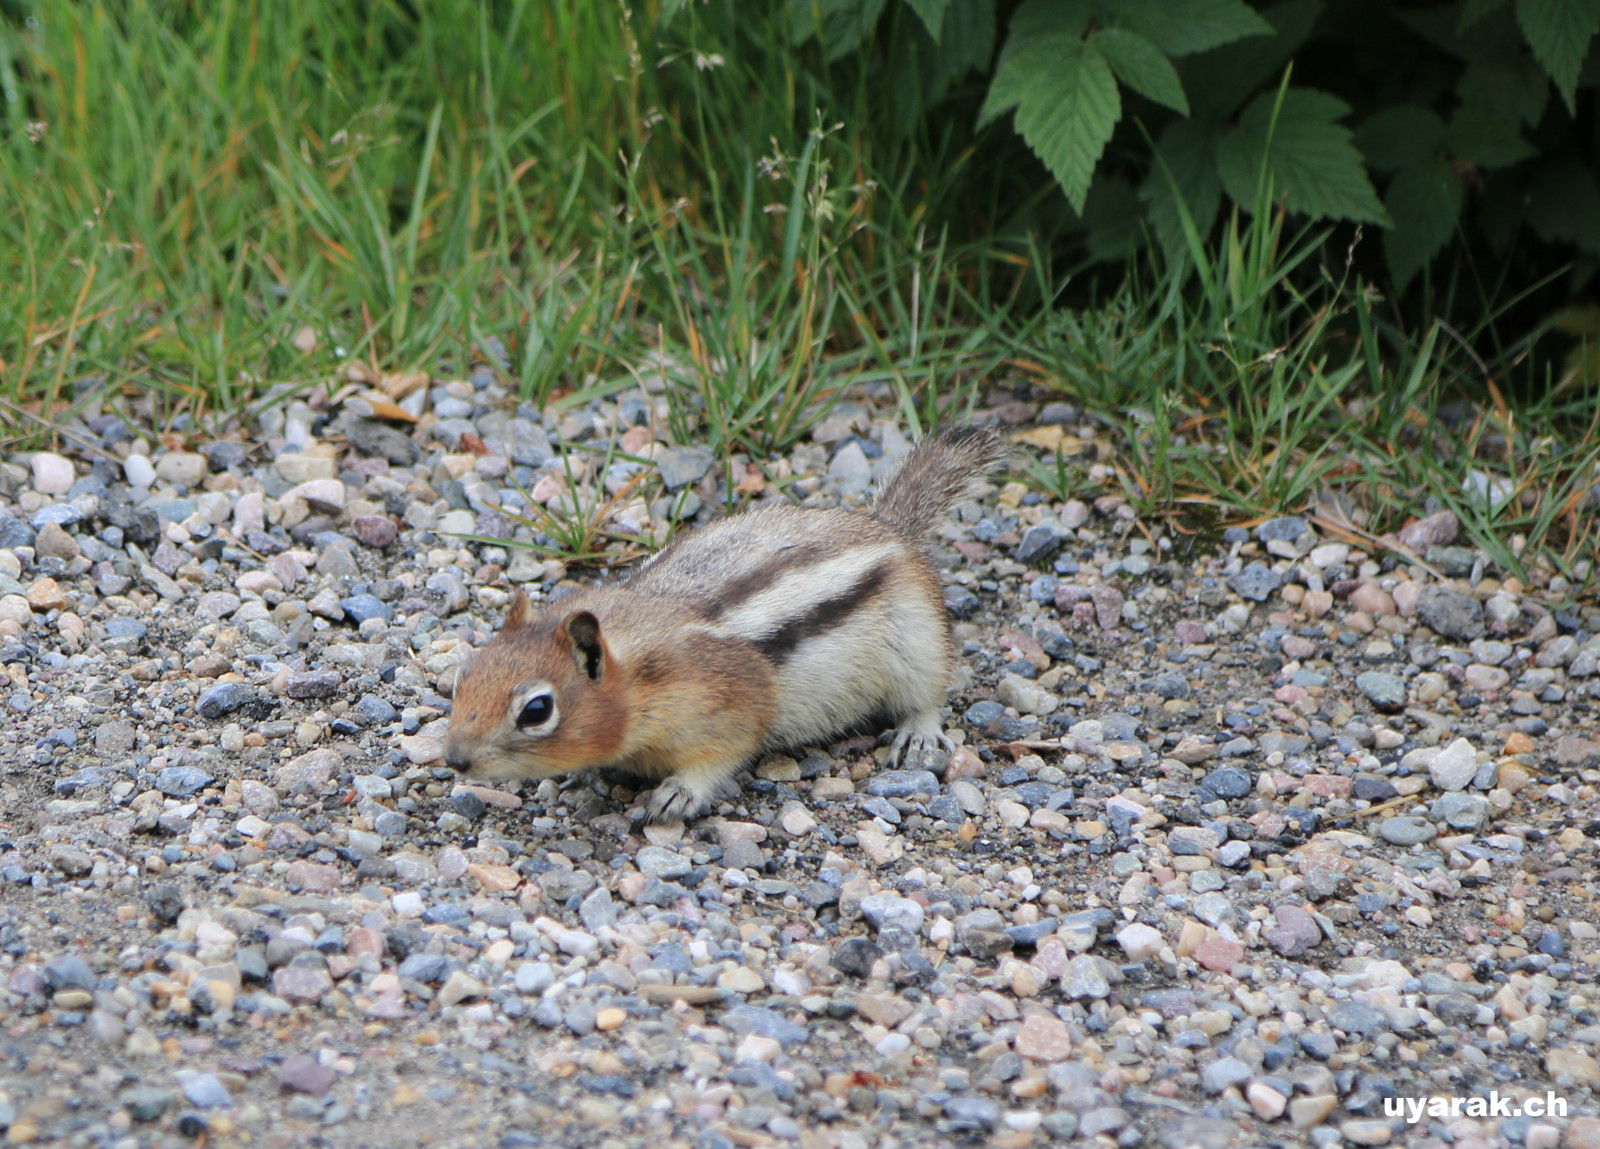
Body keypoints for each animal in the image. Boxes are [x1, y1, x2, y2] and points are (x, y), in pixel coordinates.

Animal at [444, 424, 1008, 823]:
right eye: (462, 678)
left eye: (537, 710)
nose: (454, 760)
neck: (641, 672)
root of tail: (888, 527)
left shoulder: (732, 704)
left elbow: (724, 754)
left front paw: (678, 793)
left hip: (919, 640)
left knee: (927, 694)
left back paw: (917, 733)